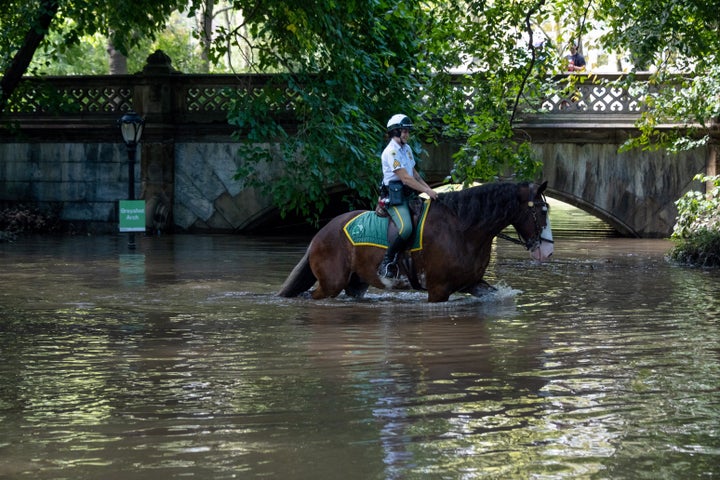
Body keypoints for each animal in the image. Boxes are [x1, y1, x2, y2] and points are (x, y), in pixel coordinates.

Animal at [278, 182, 556, 302]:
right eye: (541, 210)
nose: (548, 252)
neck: (463, 229)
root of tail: (320, 234)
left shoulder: (473, 283)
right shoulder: (438, 290)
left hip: (356, 283)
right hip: (331, 283)